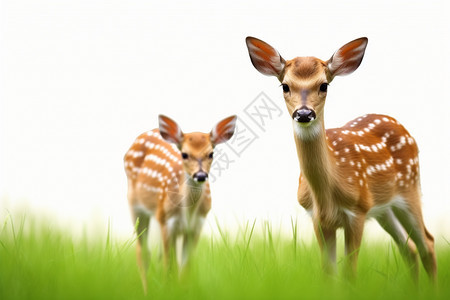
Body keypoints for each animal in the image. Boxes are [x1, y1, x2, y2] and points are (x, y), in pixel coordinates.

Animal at [123, 114, 236, 288]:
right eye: (184, 154)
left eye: (211, 153)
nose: (200, 175)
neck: (188, 214)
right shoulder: (167, 221)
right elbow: (170, 267)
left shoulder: (196, 226)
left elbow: (185, 267)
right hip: (136, 206)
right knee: (143, 252)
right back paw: (146, 289)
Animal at [246, 36, 436, 280]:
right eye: (285, 86)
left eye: (324, 85)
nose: (304, 113)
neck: (326, 194)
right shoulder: (318, 219)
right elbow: (328, 272)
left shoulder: (357, 211)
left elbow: (349, 273)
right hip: (384, 208)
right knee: (409, 248)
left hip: (410, 189)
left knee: (427, 243)